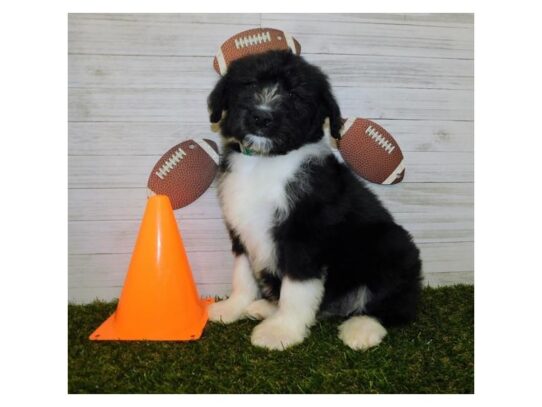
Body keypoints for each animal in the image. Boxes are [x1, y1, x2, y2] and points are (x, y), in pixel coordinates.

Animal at [206, 50, 422, 350]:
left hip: (393, 247)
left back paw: (362, 328)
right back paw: (265, 308)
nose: (262, 117)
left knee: (395, 306)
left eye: (294, 94)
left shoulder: (305, 235)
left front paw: (281, 332)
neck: (267, 161)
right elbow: (242, 274)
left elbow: (296, 288)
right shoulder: (241, 228)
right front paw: (232, 308)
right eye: (249, 84)